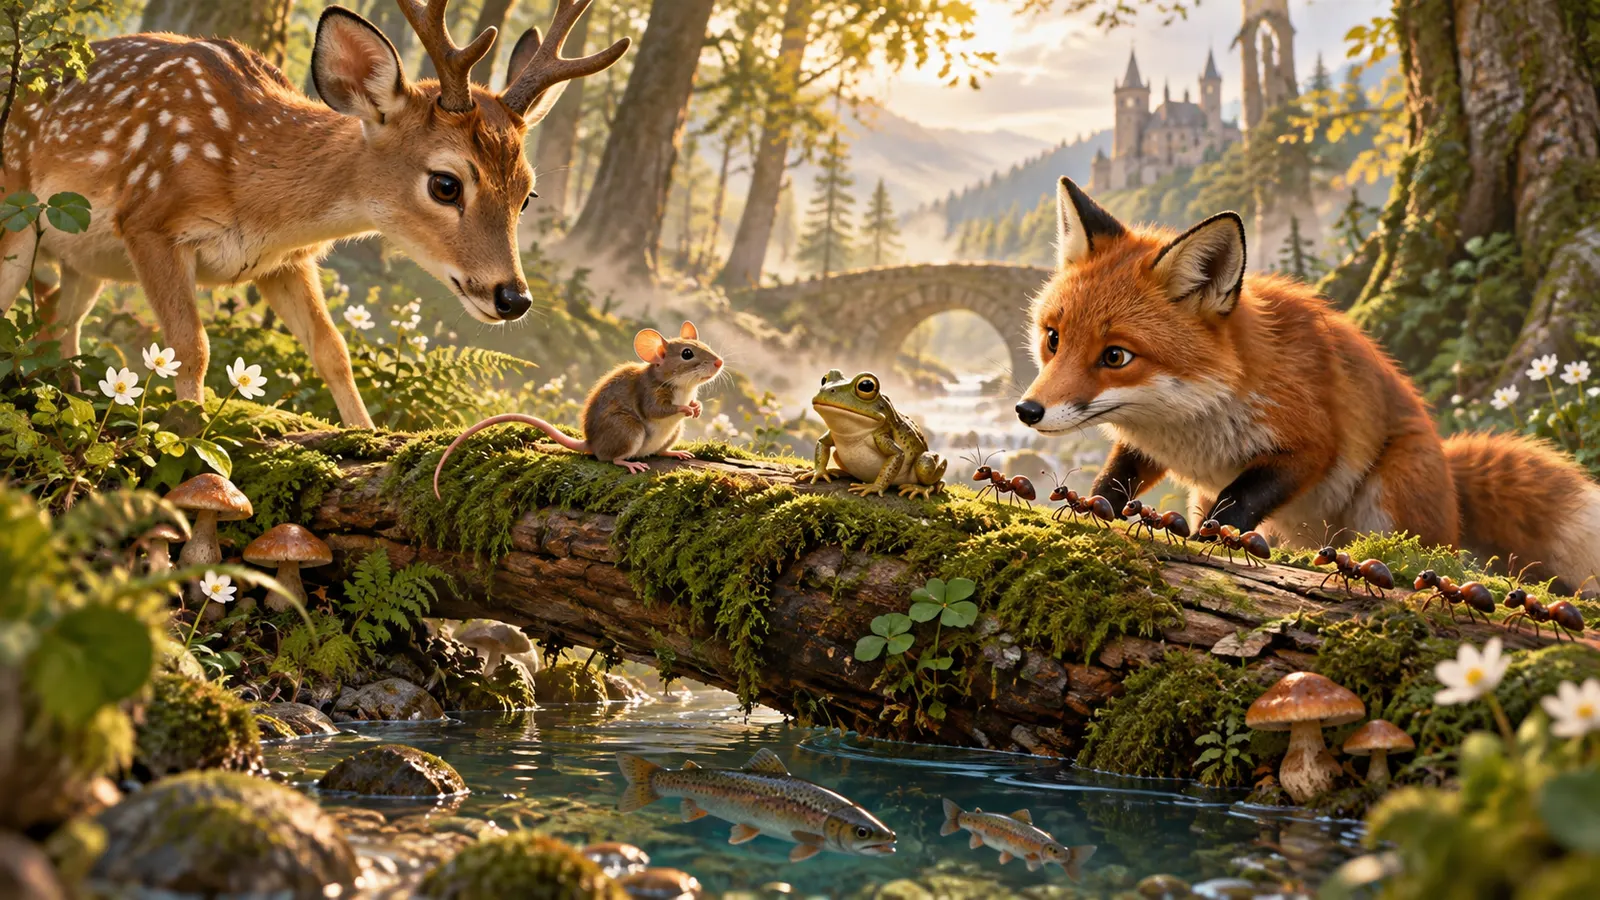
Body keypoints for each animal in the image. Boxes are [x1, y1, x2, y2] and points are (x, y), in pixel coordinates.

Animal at [0, 1, 628, 428]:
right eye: (446, 184)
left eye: (528, 194)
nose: (513, 297)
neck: (252, 183)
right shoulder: (148, 219)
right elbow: (192, 348)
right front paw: (193, 447)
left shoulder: (286, 262)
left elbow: (333, 352)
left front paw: (368, 438)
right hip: (18, 216)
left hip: (85, 263)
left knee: (60, 321)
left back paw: (71, 395)